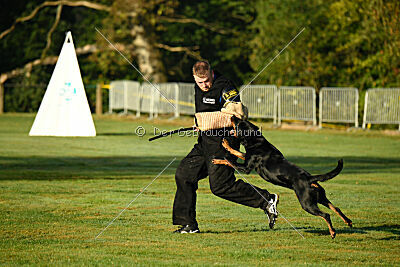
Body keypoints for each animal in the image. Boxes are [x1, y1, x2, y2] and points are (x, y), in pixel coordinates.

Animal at [214, 117, 352, 239]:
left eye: (238, 123)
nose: (232, 116)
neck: (255, 141)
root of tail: (310, 178)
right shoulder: (246, 158)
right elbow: (238, 153)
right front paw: (227, 146)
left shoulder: (246, 168)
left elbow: (230, 161)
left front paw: (218, 158)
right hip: (320, 198)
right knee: (336, 208)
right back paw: (348, 221)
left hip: (307, 203)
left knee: (326, 215)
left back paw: (333, 232)